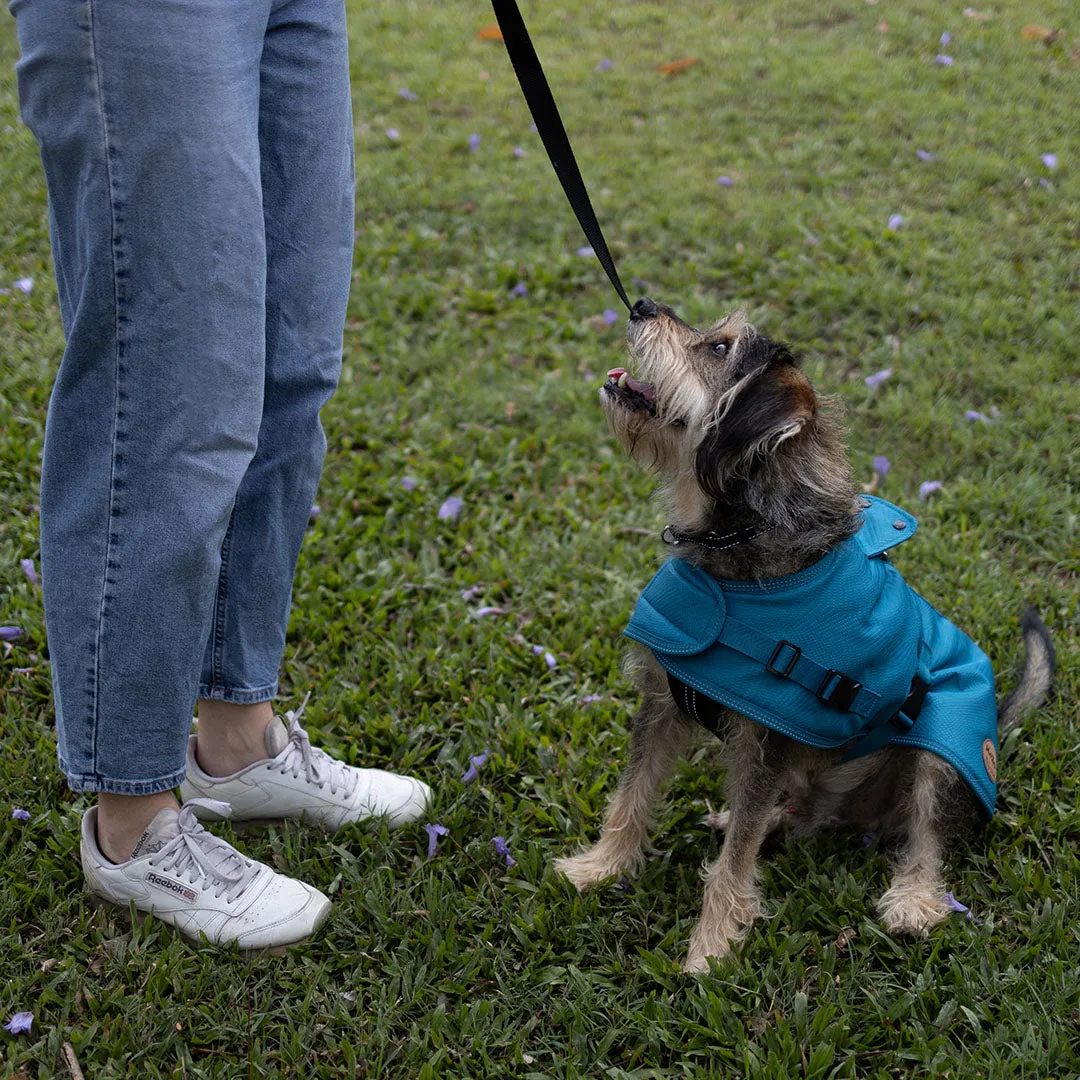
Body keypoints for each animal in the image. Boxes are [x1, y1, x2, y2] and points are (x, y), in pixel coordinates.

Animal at [557, 295, 1054, 972]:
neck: (733, 547)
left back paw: (914, 900)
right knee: (778, 812)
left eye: (719, 348)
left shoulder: (767, 738)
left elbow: (731, 866)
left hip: (943, 744)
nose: (642, 305)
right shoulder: (662, 700)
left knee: (925, 833)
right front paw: (601, 868)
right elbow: (631, 797)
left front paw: (712, 948)